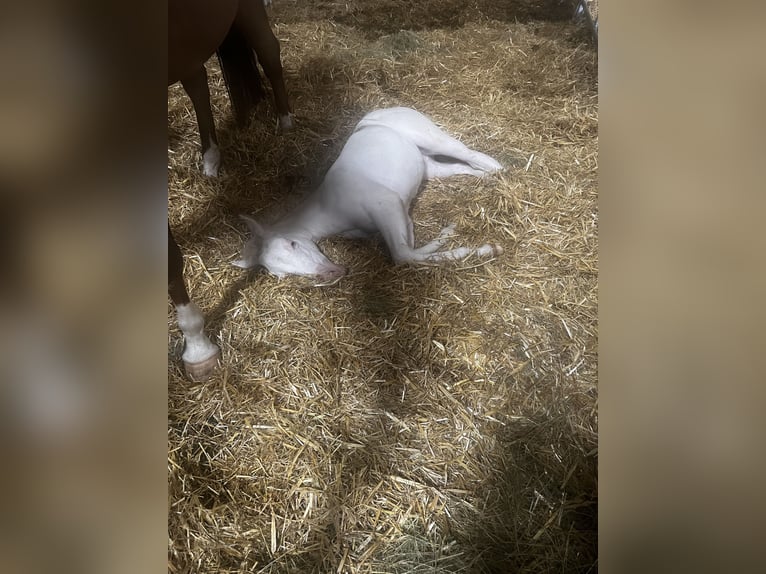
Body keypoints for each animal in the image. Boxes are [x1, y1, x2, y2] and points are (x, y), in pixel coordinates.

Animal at [237, 108, 508, 284]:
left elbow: (403, 255)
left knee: (469, 153)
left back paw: (504, 170)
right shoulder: (391, 217)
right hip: (427, 165)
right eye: (280, 274)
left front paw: (487, 248)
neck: (333, 208)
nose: (330, 274)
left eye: (292, 243)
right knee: (464, 168)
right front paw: (450, 233)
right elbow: (410, 245)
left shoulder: (387, 204)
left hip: (430, 138)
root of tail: (388, 107)